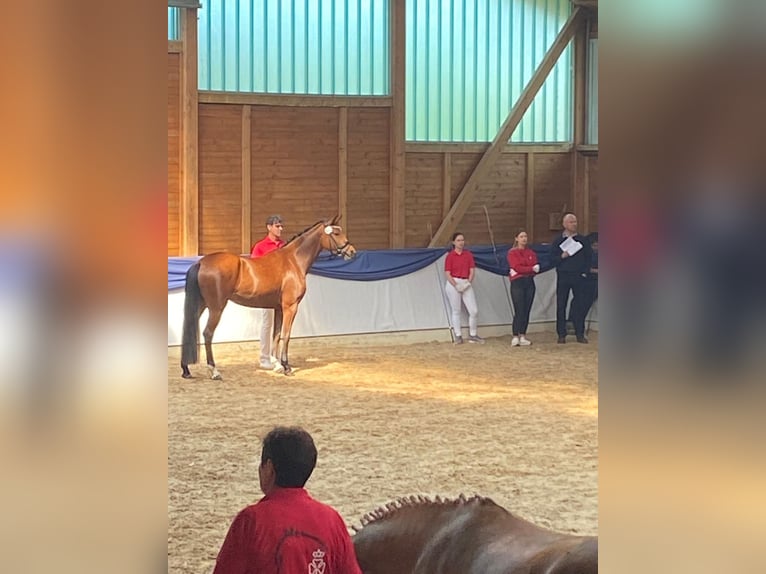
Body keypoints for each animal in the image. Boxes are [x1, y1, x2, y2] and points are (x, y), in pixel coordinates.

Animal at [181, 215, 356, 378]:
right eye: (336, 232)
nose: (352, 251)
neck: (293, 261)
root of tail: (201, 262)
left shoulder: (278, 308)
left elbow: (276, 336)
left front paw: (277, 364)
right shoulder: (291, 307)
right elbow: (286, 335)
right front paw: (286, 367)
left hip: (201, 305)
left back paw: (186, 369)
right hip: (216, 307)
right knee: (207, 333)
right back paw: (214, 370)